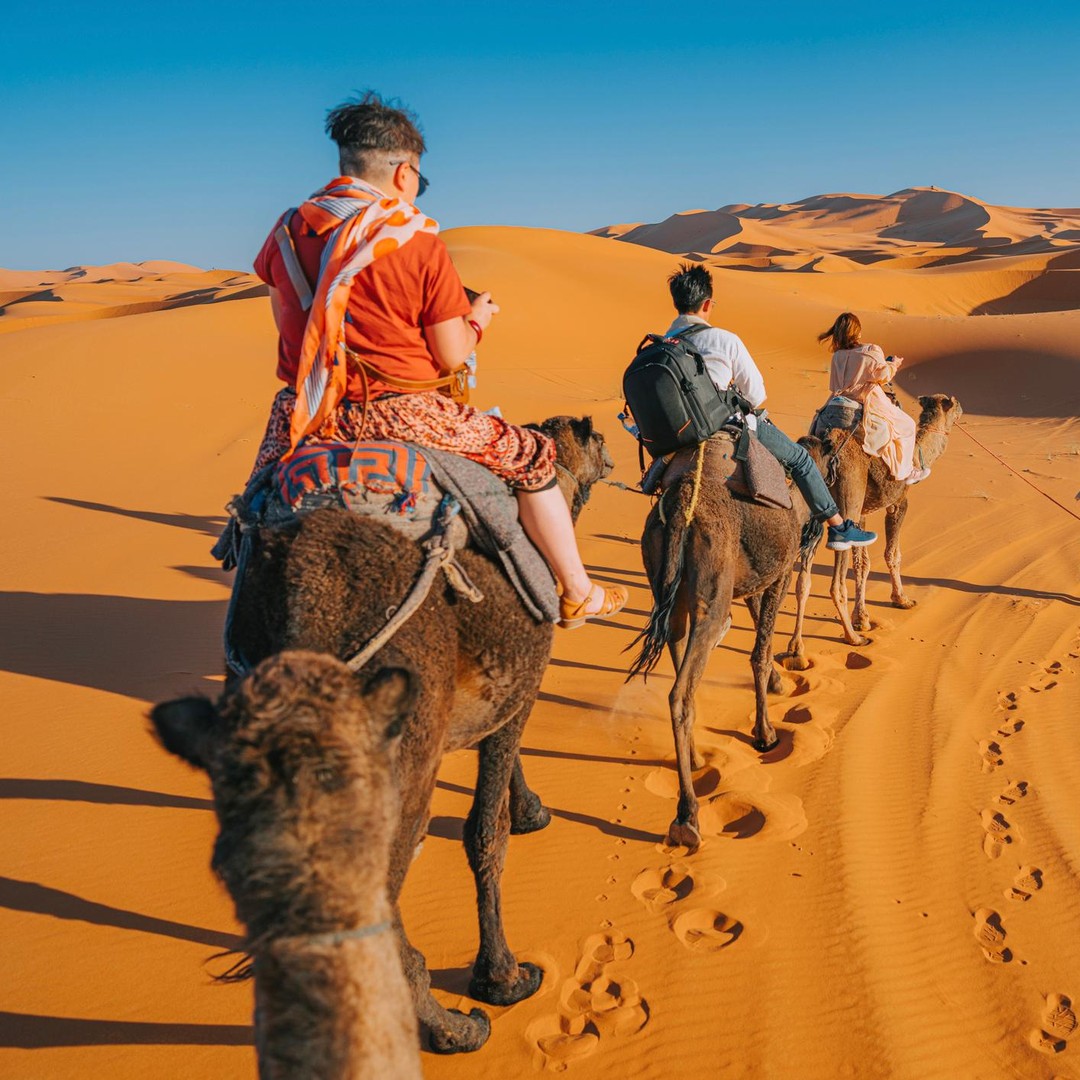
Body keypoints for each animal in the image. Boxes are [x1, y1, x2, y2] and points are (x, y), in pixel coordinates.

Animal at [225, 416, 613, 1053]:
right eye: (602, 440)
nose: (618, 459)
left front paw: (530, 808)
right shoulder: (523, 683)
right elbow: (486, 833)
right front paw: (504, 978)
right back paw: (453, 1029)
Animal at [628, 433, 824, 852]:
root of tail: (681, 508)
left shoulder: (752, 579)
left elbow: (758, 631)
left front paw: (779, 685)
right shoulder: (780, 572)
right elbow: (760, 653)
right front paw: (765, 734)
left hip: (668, 588)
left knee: (681, 668)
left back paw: (696, 760)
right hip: (711, 589)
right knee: (680, 691)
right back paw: (687, 818)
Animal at [784, 393, 962, 664]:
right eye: (953, 402)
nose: (962, 408)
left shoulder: (863, 516)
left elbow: (863, 564)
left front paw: (863, 618)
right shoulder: (898, 503)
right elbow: (892, 554)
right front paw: (901, 599)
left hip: (815, 510)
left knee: (803, 580)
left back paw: (798, 651)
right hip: (847, 502)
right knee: (836, 583)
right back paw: (852, 639)